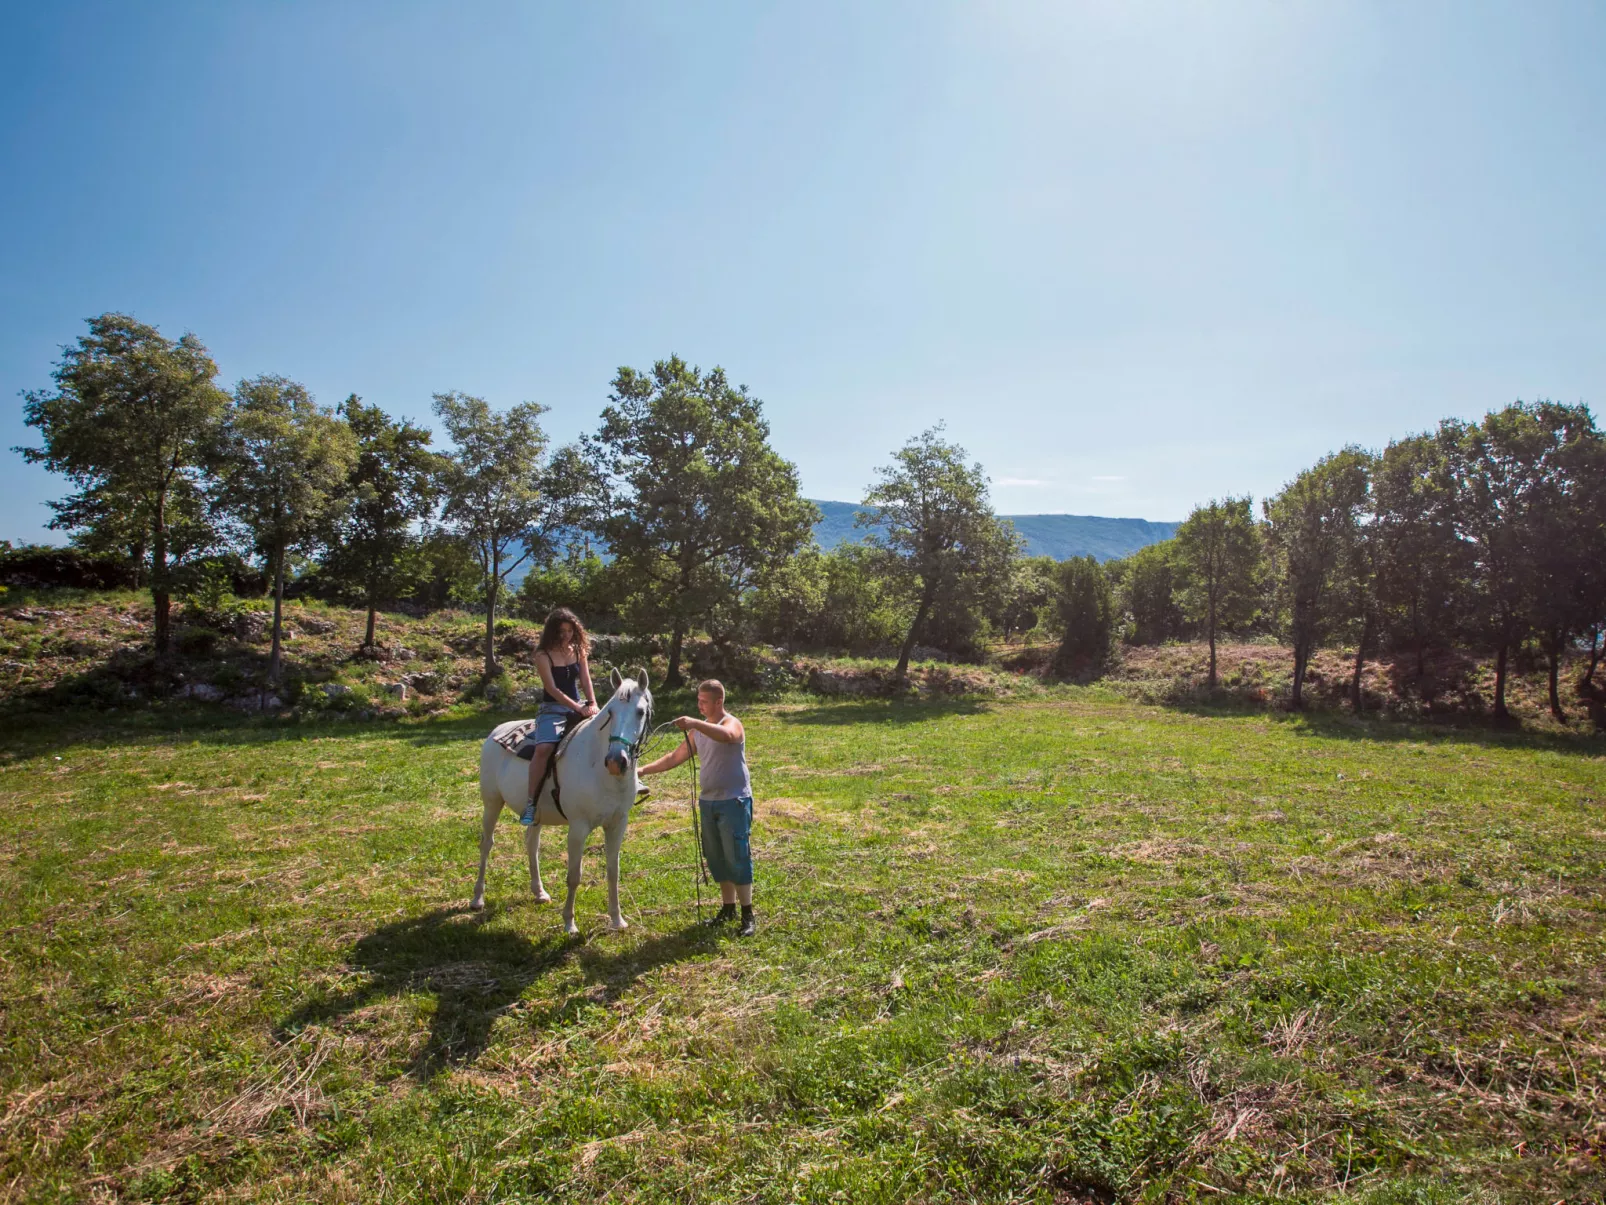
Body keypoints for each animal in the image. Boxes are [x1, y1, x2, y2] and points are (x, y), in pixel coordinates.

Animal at [468, 671, 652, 931]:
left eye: (640, 712)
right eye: (611, 712)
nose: (616, 761)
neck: (598, 768)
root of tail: (497, 731)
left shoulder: (618, 824)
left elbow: (613, 871)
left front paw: (617, 920)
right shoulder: (578, 828)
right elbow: (574, 875)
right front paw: (569, 923)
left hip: (535, 814)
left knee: (531, 844)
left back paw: (539, 892)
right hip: (492, 803)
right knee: (486, 845)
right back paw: (477, 898)